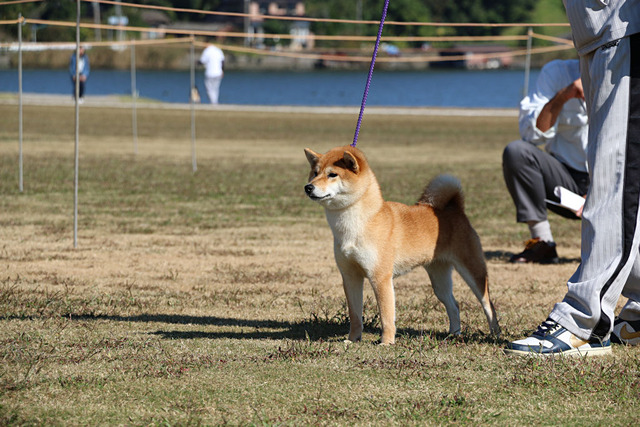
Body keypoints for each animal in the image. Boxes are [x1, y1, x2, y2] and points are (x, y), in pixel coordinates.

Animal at [304, 146, 500, 344]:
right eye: (315, 173)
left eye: (332, 174)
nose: (308, 187)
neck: (359, 223)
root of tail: (455, 209)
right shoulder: (350, 276)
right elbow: (355, 315)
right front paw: (352, 339)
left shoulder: (380, 277)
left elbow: (386, 315)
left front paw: (386, 342)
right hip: (439, 280)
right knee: (454, 305)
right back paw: (453, 334)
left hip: (473, 271)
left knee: (488, 304)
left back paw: (495, 333)